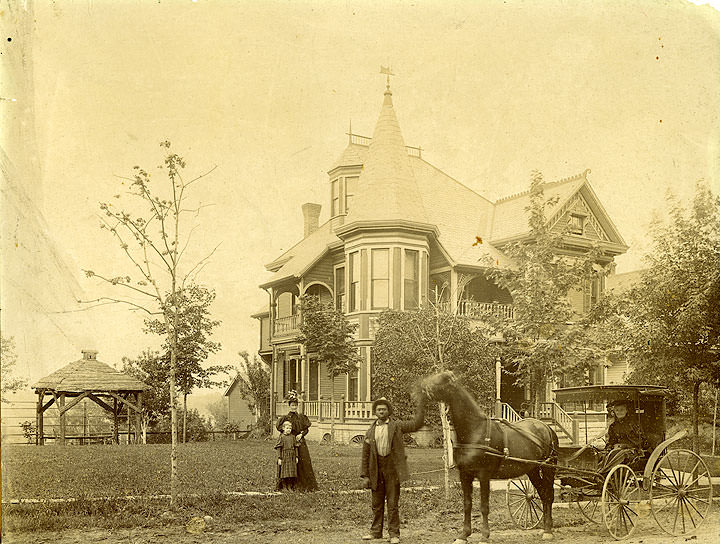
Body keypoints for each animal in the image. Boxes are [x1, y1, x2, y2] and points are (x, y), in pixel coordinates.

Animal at [422, 368, 564, 540]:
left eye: (442, 380)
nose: (424, 389)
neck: (475, 431)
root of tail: (547, 427)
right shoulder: (465, 475)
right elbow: (467, 504)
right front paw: (464, 534)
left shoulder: (484, 475)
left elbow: (484, 506)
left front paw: (484, 535)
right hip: (533, 469)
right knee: (543, 494)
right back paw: (545, 528)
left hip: (548, 467)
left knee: (549, 495)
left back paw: (548, 531)